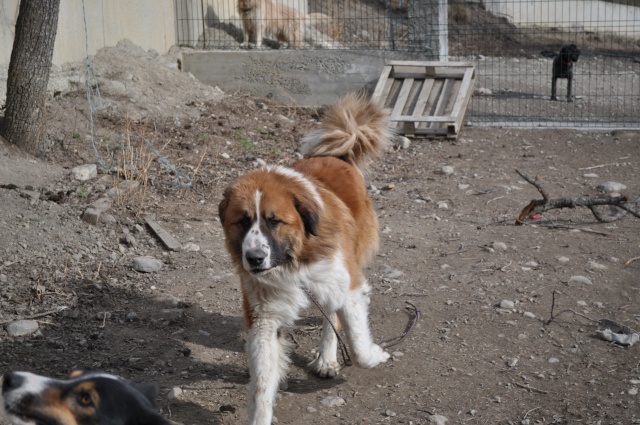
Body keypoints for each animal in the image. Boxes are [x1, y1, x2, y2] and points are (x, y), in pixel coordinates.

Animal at [218, 93, 392, 424]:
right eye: (243, 221)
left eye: (274, 221)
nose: (254, 258)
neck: (294, 259)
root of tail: (340, 156)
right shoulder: (265, 316)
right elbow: (262, 383)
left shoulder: (347, 283)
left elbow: (360, 350)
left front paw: (376, 354)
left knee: (332, 314)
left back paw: (326, 359)